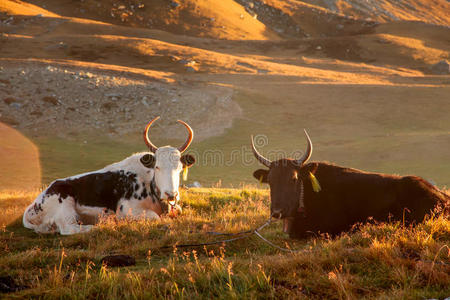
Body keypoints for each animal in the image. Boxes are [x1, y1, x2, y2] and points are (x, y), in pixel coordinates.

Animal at [22, 116, 195, 236]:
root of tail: (32, 208)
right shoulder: (127, 209)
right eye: (157, 167)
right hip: (64, 205)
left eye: (180, 168)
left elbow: (178, 210)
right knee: (68, 228)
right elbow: (155, 218)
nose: (171, 195)